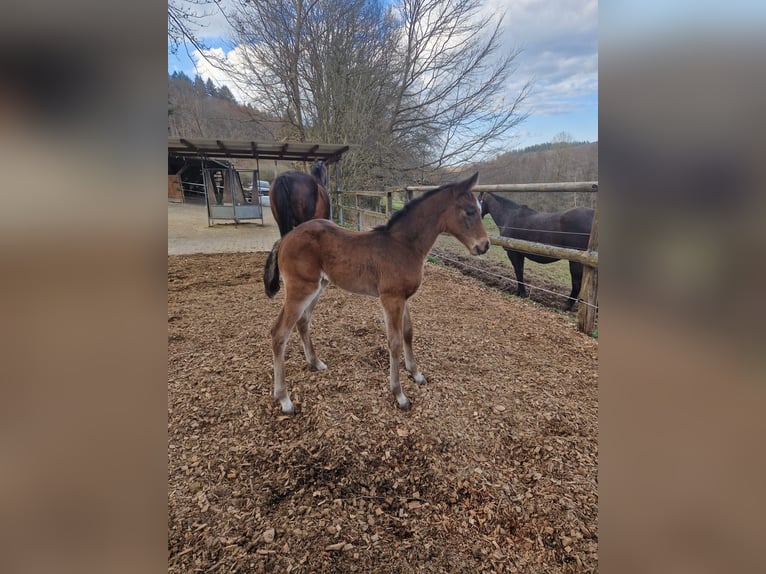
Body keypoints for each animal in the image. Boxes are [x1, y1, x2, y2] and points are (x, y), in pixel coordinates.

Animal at [263, 173, 489, 415]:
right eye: (469, 211)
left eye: (479, 210)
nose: (484, 245)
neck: (404, 245)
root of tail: (285, 238)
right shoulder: (391, 299)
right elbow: (395, 342)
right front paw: (399, 395)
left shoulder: (403, 298)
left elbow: (408, 333)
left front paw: (416, 374)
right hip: (300, 289)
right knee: (279, 333)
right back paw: (284, 399)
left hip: (318, 286)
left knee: (303, 322)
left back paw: (315, 362)